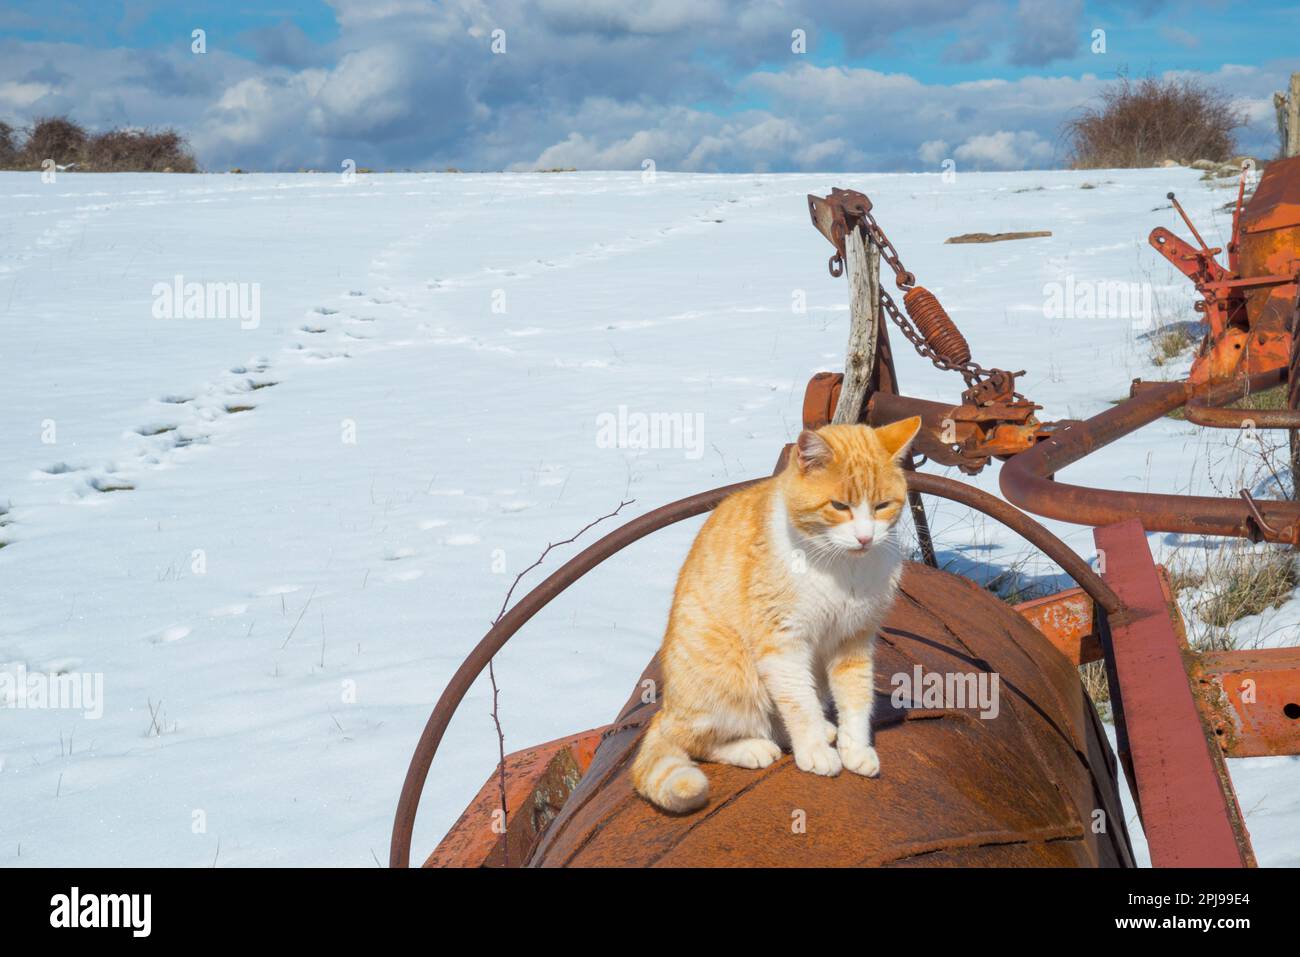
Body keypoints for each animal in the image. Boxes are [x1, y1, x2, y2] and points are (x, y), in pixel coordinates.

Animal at [631, 416, 925, 806]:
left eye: (881, 506)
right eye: (839, 506)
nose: (865, 538)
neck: (843, 566)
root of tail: (667, 709)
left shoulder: (854, 641)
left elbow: (856, 699)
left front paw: (855, 748)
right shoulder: (783, 644)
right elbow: (799, 704)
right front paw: (814, 751)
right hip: (730, 675)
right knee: (696, 740)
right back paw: (753, 748)